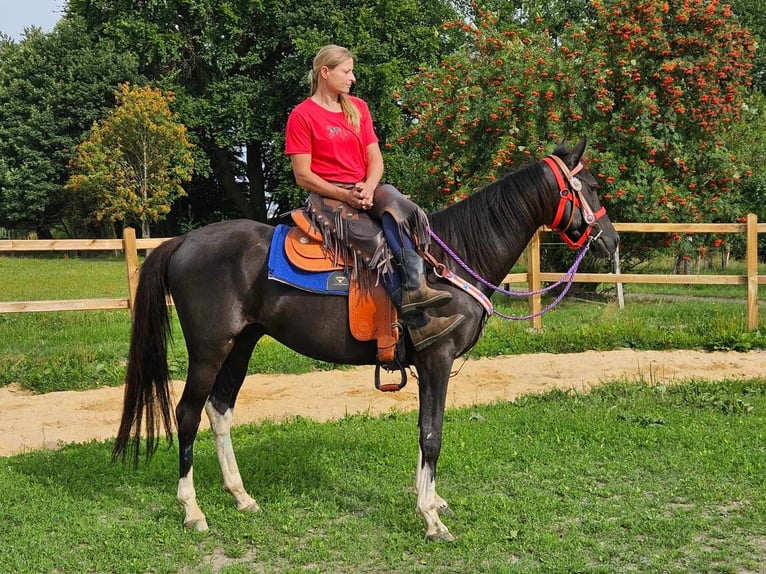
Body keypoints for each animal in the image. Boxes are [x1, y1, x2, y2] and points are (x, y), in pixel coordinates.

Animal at [112, 138, 616, 540]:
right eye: (589, 186)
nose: (611, 242)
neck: (449, 261)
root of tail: (184, 242)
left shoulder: (428, 365)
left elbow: (422, 431)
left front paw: (430, 500)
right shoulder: (437, 358)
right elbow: (432, 434)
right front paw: (432, 519)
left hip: (242, 344)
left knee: (220, 411)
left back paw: (241, 497)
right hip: (210, 349)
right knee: (187, 414)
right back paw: (193, 511)